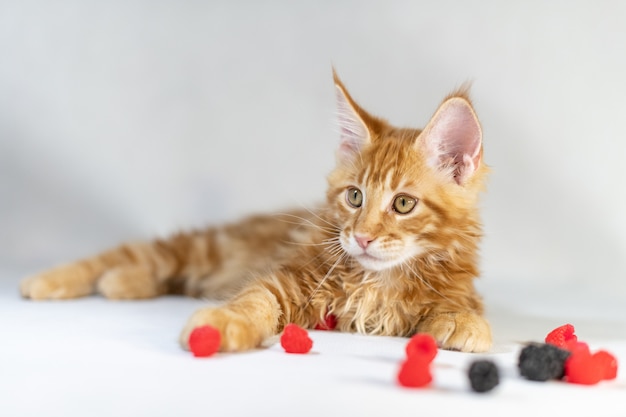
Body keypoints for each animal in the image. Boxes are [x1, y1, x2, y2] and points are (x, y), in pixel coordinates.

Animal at [20, 70, 492, 352]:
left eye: (403, 204)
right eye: (355, 197)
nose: (361, 237)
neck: (379, 281)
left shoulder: (455, 282)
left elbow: (462, 304)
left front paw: (463, 322)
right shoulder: (289, 278)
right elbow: (253, 300)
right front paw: (220, 324)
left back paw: (121, 283)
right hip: (208, 248)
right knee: (137, 254)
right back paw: (49, 280)